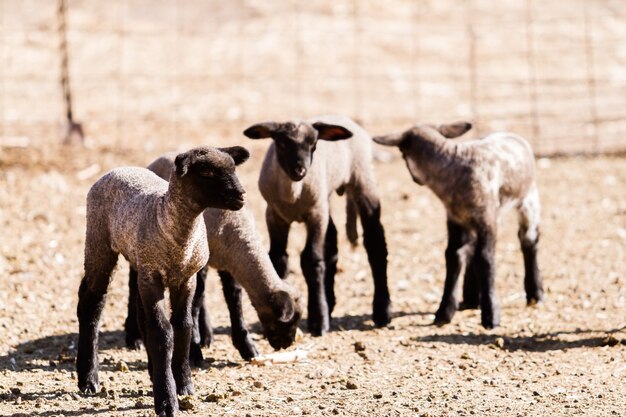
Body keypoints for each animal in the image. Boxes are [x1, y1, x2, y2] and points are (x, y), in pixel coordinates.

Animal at [77, 145, 252, 416]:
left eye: (234, 167)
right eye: (207, 172)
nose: (241, 195)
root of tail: (117, 169)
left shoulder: (186, 280)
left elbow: (183, 326)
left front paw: (184, 385)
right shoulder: (153, 279)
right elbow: (162, 332)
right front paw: (167, 400)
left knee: (139, 316)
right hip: (99, 243)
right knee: (91, 304)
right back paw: (88, 379)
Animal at [123, 153, 302, 360]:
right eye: (288, 322)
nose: (286, 345)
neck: (235, 230)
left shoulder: (227, 263)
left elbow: (233, 297)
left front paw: (246, 346)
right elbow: (196, 300)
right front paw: (194, 350)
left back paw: (207, 334)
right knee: (133, 284)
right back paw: (134, 337)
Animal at [244, 114, 390, 334]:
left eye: (313, 145)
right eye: (282, 143)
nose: (300, 170)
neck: (293, 196)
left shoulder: (315, 215)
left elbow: (311, 259)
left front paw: (318, 321)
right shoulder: (274, 215)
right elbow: (278, 259)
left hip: (362, 178)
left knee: (375, 244)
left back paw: (382, 312)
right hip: (325, 198)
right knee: (332, 246)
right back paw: (330, 302)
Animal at [370, 122, 540, 330]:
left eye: (402, 153)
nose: (415, 180)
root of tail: (513, 135)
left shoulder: (487, 217)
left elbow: (486, 258)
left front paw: (491, 315)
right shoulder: (454, 219)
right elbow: (453, 255)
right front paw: (444, 312)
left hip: (528, 198)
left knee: (528, 240)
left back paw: (535, 294)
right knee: (473, 250)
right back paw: (472, 298)